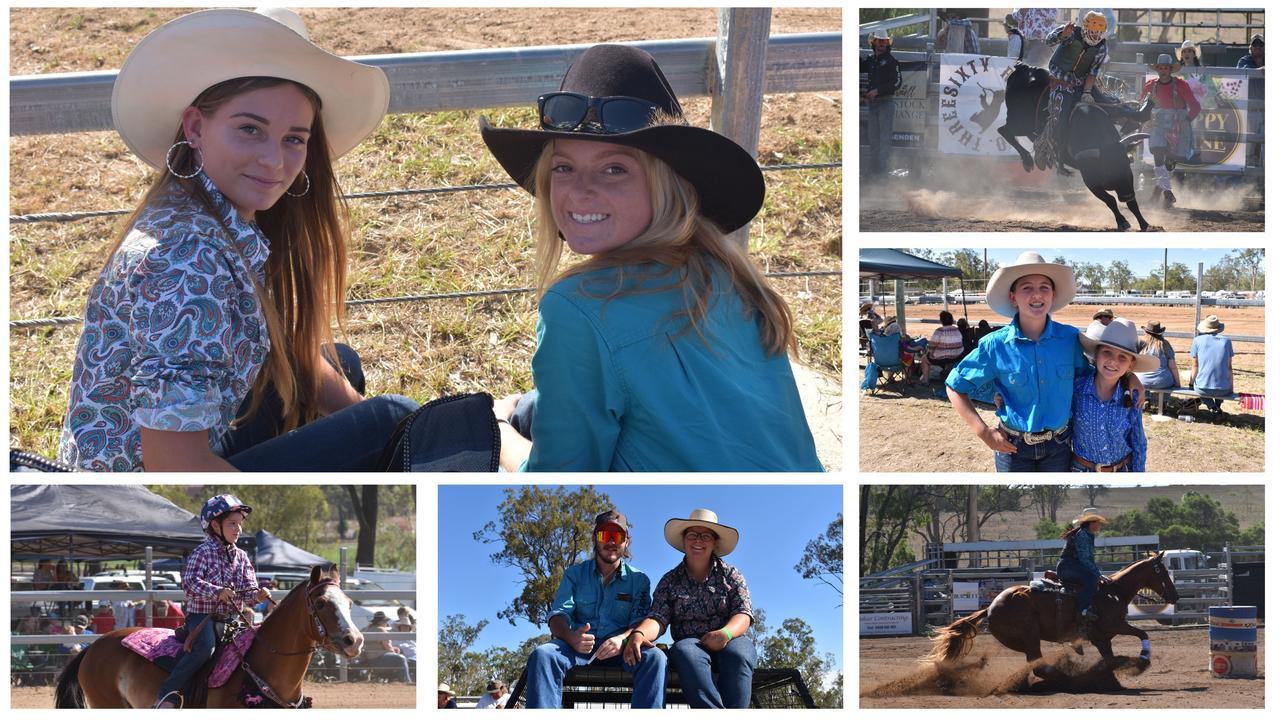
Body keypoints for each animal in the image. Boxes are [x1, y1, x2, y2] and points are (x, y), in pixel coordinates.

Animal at [931, 548, 1177, 671]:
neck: (1113, 592)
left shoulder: (1102, 638)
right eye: (1163, 571)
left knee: (1034, 661)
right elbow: (1142, 633)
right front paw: (1143, 657)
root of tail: (991, 606)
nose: (1174, 595)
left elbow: (1111, 658)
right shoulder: (1114, 625)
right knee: (1036, 662)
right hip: (1030, 634)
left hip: (1021, 640)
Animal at [998, 27, 1162, 229]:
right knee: (1004, 130)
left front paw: (1144, 224)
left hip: (1030, 127)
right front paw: (1122, 221)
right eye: (1109, 169)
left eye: (1127, 168)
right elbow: (1110, 200)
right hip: (1018, 122)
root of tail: (1023, 68)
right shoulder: (1090, 179)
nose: (1127, 194)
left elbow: (1132, 204)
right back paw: (1028, 161)